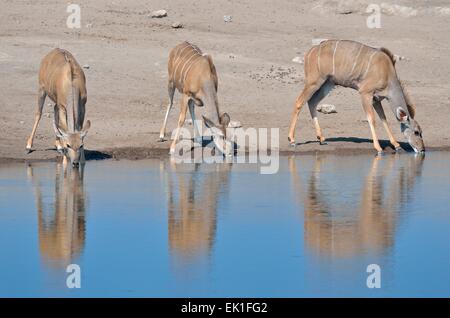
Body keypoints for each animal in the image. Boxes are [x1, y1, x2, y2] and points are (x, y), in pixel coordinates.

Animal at [288, 40, 426, 155]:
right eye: (416, 132)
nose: (422, 150)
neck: (387, 73)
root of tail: (310, 52)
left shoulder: (376, 99)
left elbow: (384, 119)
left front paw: (397, 145)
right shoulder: (365, 93)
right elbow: (372, 119)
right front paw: (378, 148)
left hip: (328, 83)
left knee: (312, 102)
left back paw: (321, 138)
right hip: (314, 82)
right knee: (299, 101)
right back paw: (292, 140)